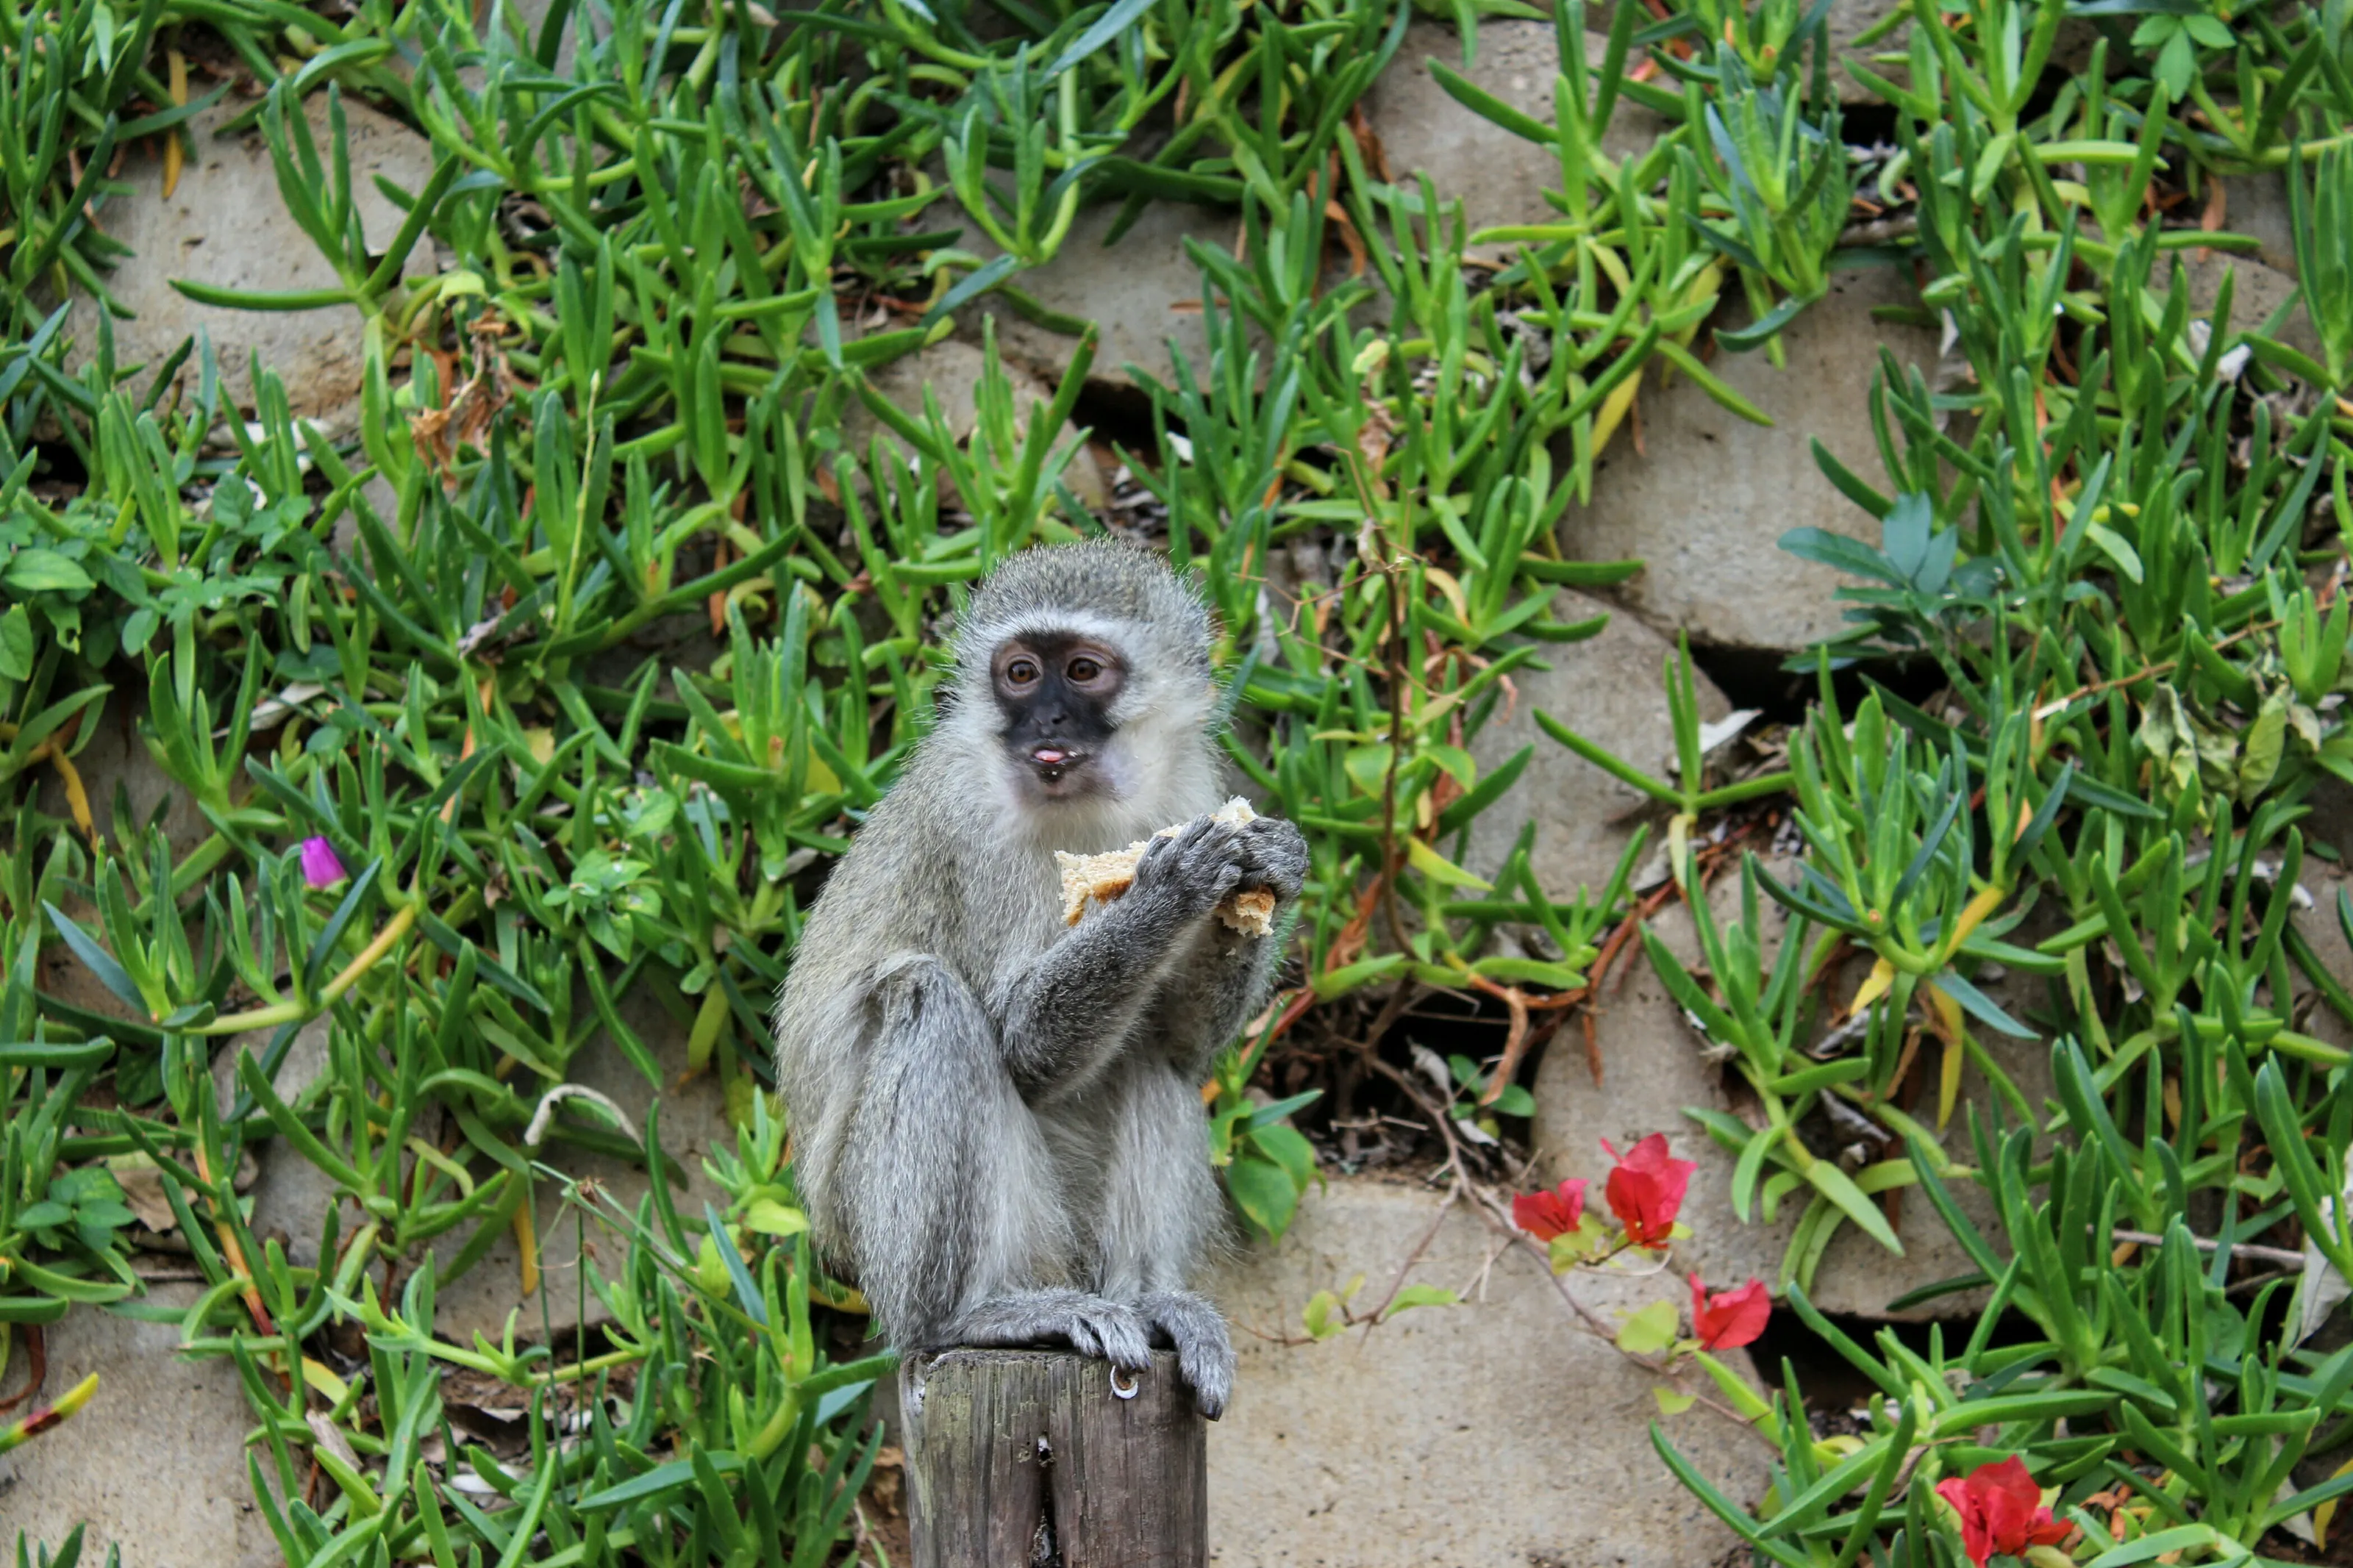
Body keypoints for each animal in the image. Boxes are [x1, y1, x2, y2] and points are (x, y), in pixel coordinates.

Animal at [772, 540, 1307, 1418]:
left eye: (1083, 671)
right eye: (1021, 674)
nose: (1046, 722)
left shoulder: (1186, 787)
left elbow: (1184, 1047)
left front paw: (1272, 868)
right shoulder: (968, 826)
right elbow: (1024, 1048)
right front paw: (1166, 892)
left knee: (1145, 1053)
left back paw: (1150, 1297)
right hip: (892, 1227)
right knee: (929, 1000)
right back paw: (969, 1317)